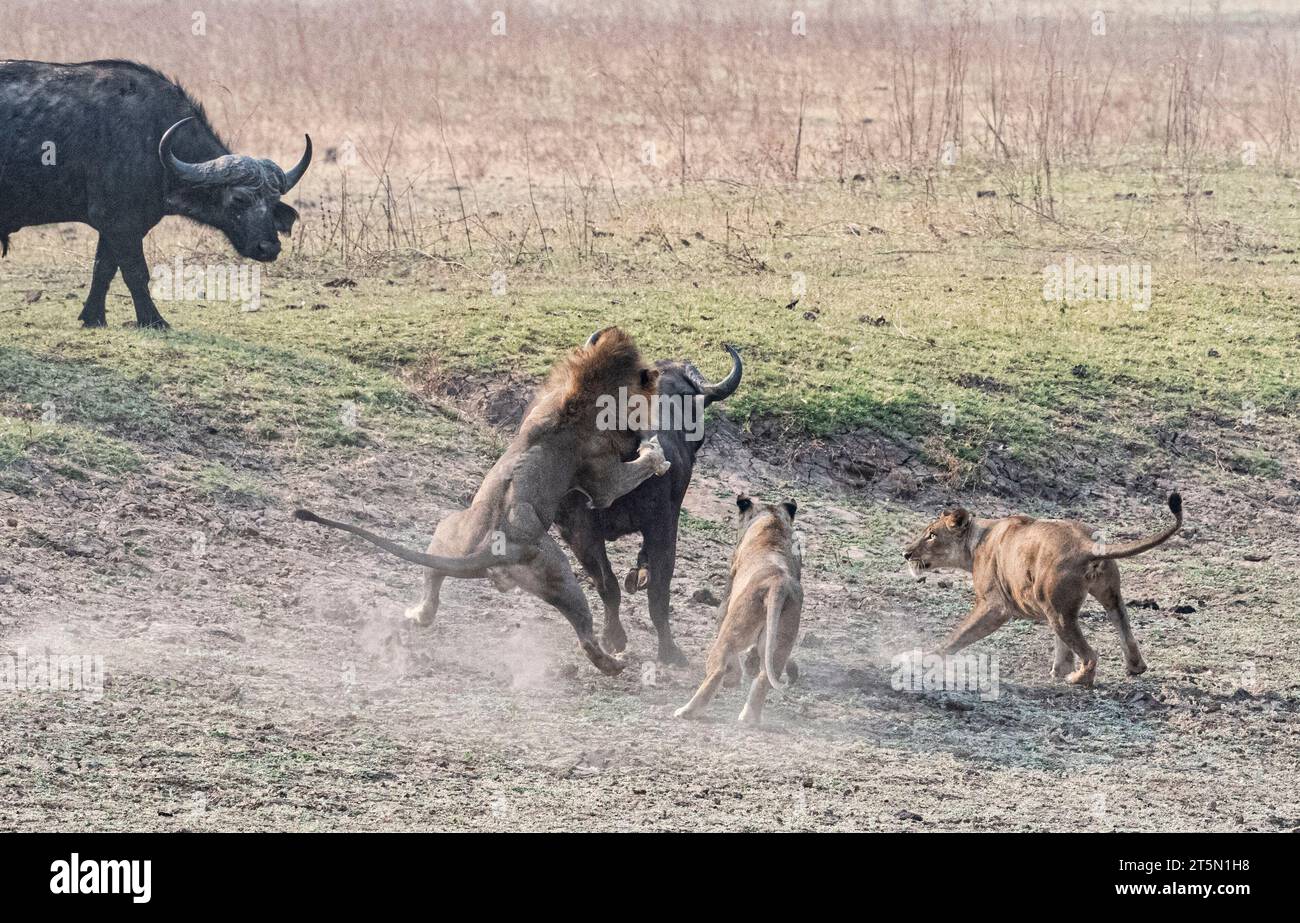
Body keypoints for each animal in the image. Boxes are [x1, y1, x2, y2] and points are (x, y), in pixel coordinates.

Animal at [0, 59, 311, 328]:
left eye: (272, 202)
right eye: (239, 199)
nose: (269, 248)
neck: (151, 140)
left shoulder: (119, 227)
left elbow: (103, 269)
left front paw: (93, 317)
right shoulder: (119, 222)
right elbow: (136, 273)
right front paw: (153, 320)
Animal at [294, 327, 671, 675]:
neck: (583, 392)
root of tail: (490, 548)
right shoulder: (603, 481)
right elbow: (633, 470)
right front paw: (656, 453)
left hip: (448, 532)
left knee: (432, 576)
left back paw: (417, 615)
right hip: (560, 574)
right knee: (586, 635)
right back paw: (614, 664)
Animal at [675, 495, 803, 724]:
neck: (772, 521)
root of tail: (778, 583)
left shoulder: (728, 595)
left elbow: (720, 618)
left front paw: (734, 676)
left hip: (734, 628)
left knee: (717, 670)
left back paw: (688, 710)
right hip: (781, 642)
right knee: (763, 679)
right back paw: (749, 718)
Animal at [902, 492, 1183, 687]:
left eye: (931, 535)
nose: (906, 553)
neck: (976, 541)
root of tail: (1086, 545)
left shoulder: (994, 606)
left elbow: (959, 634)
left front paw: (927, 657)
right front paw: (1060, 669)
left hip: (1056, 610)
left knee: (1090, 655)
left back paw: (1077, 679)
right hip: (1104, 597)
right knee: (1123, 629)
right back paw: (1131, 667)